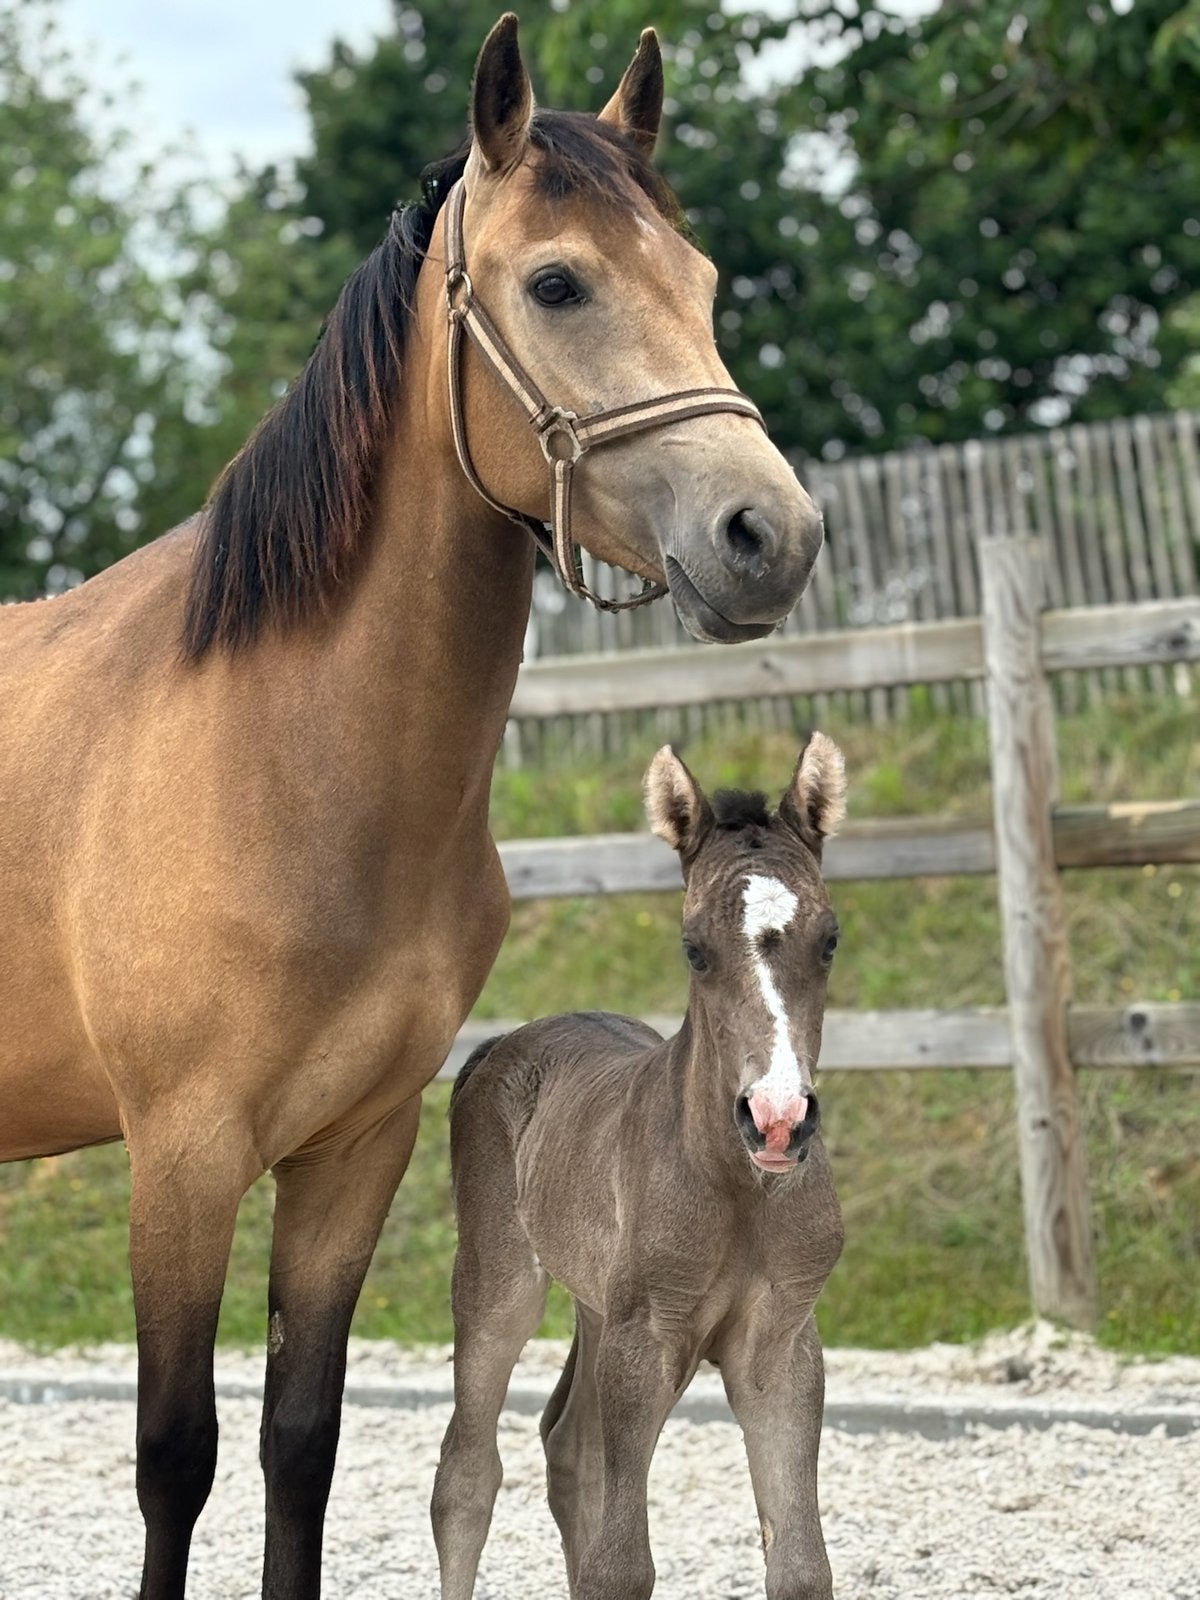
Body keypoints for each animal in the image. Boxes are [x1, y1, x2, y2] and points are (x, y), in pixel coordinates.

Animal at [432, 735, 847, 1600]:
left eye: (829, 940)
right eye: (695, 950)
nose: (778, 1118)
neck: (738, 1190)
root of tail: (498, 1045)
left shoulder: (781, 1344)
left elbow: (799, 1565)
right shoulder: (647, 1339)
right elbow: (621, 1565)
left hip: (598, 1304)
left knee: (567, 1449)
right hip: (500, 1281)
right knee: (467, 1474)